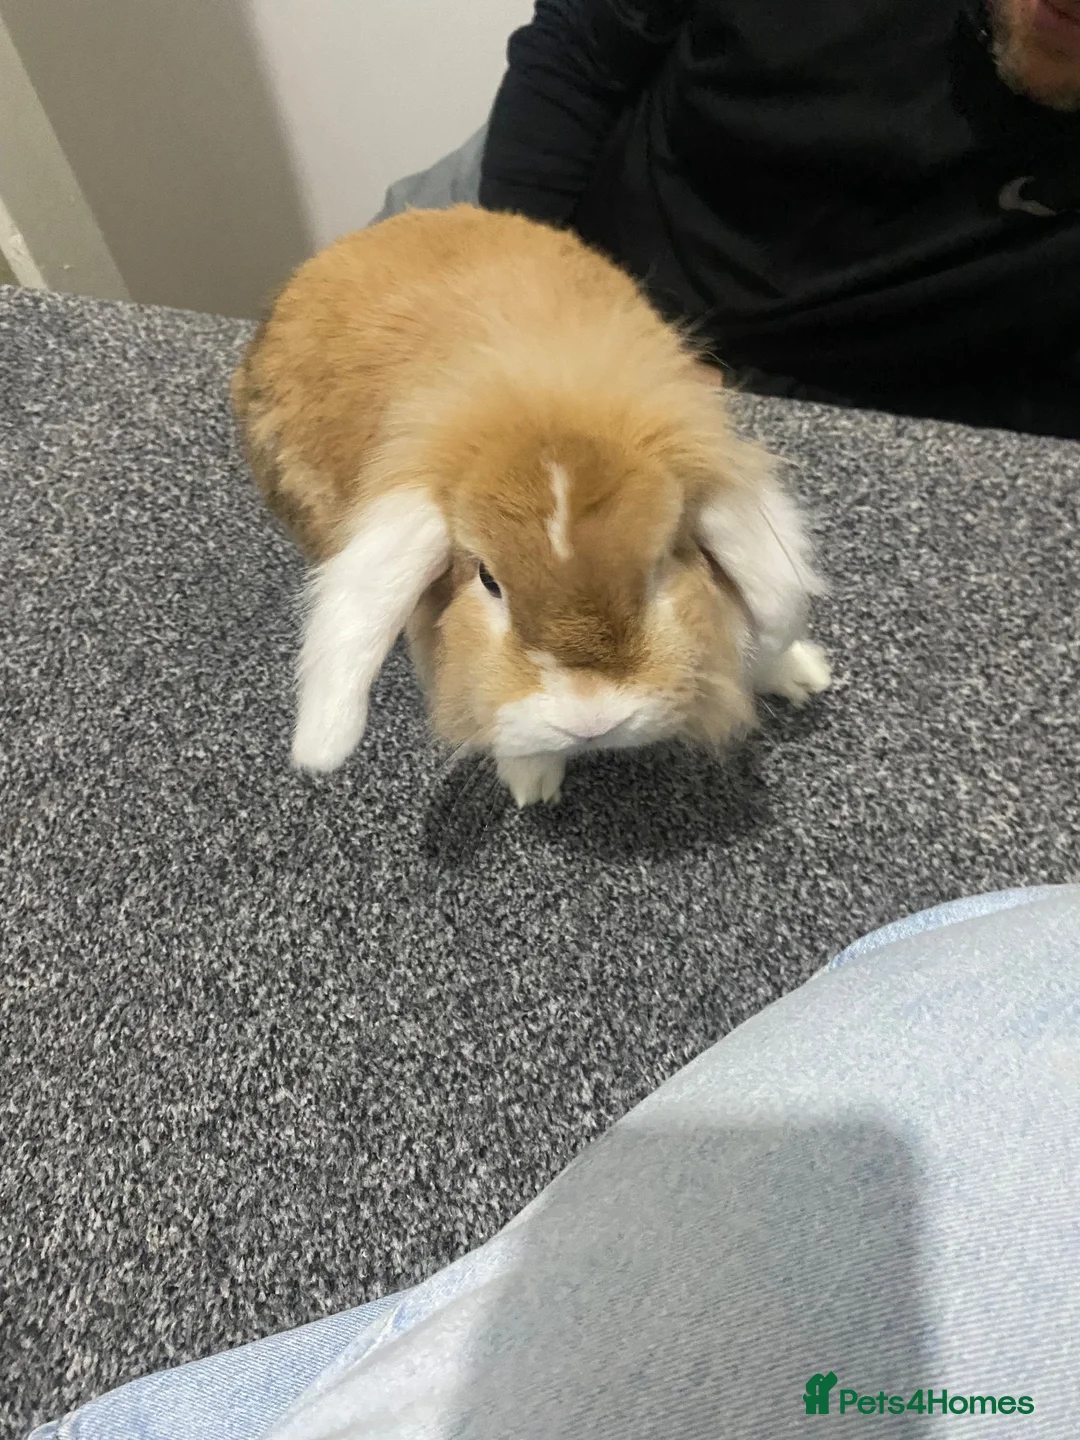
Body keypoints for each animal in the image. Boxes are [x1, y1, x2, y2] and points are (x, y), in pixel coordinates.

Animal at [232, 204, 830, 807]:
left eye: (661, 563)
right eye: (487, 580)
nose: (592, 722)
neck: (545, 403)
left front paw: (799, 674)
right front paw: (534, 782)